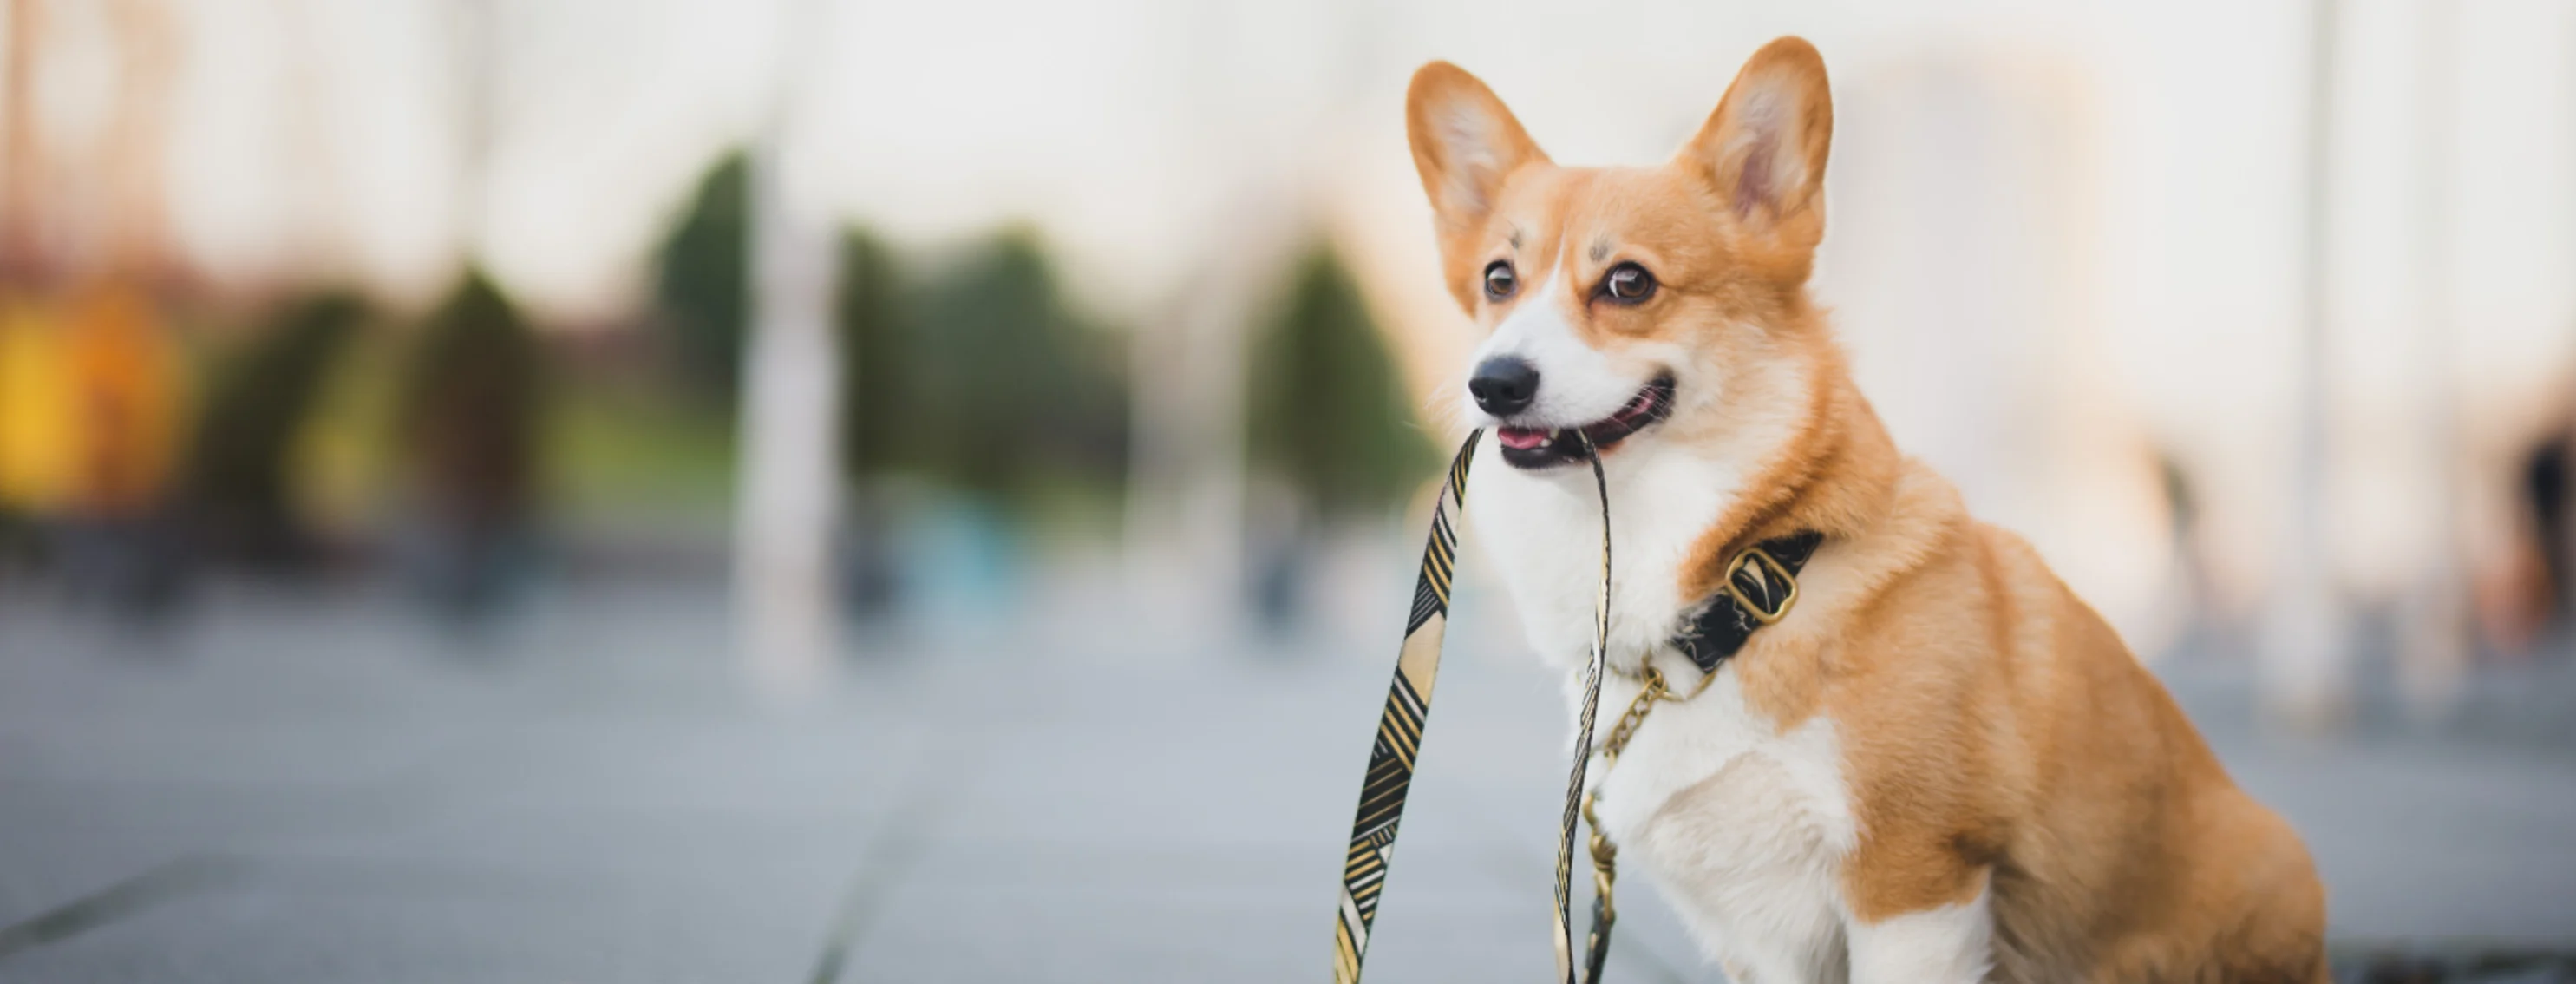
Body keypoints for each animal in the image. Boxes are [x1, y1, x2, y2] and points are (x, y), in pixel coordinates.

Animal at [1411, 36, 2338, 984]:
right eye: (1498, 280)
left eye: (1628, 282)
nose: (1494, 382)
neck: (1738, 595)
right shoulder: (1764, 938)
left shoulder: (1913, 887)